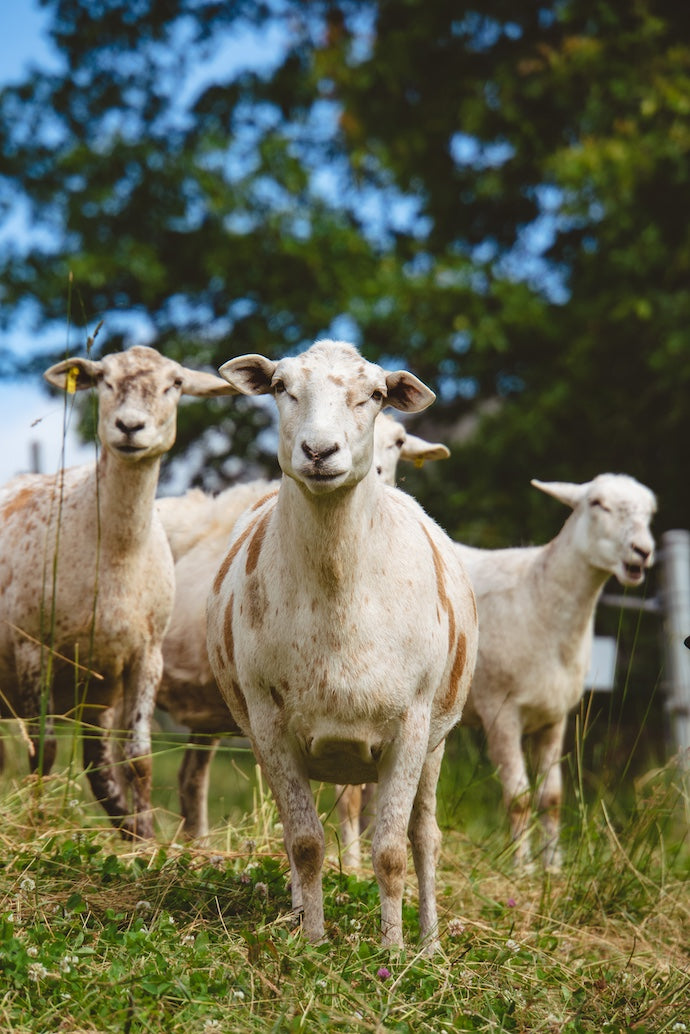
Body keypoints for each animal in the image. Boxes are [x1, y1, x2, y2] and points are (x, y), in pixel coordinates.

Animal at [0, 343, 237, 835]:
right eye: (104, 380)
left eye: (175, 384)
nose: (129, 427)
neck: (114, 555)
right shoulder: (33, 645)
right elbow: (43, 752)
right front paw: (36, 824)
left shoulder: (146, 654)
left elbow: (138, 759)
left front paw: (148, 838)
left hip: (96, 685)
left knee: (99, 763)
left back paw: (129, 828)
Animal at [202, 341, 477, 951]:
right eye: (281, 387)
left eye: (374, 394)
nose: (319, 451)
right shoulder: (270, 722)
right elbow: (304, 842)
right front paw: (312, 942)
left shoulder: (412, 723)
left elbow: (392, 851)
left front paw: (394, 952)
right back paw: (300, 913)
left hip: (437, 741)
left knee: (426, 837)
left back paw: (430, 942)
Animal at [455, 475, 657, 872]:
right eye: (597, 503)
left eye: (649, 512)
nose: (642, 551)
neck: (538, 595)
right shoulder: (500, 710)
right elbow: (518, 797)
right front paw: (522, 867)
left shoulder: (554, 717)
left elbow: (551, 798)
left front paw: (553, 866)